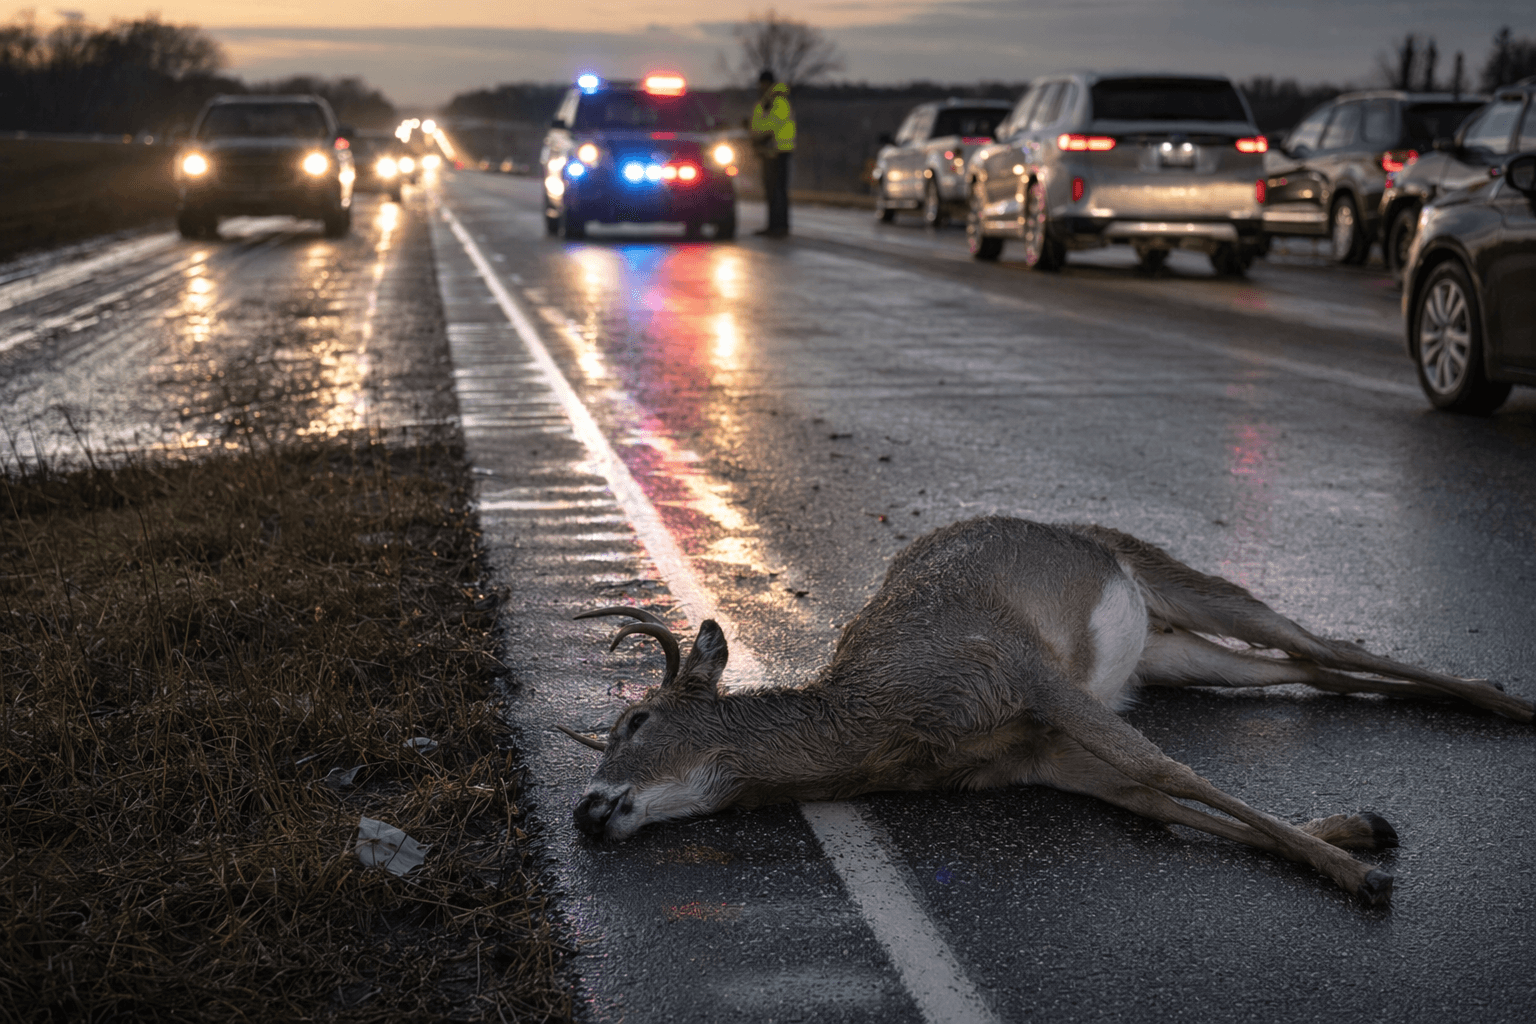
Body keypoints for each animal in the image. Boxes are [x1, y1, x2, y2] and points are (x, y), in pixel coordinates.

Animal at [560, 516, 1533, 904]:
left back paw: (1507, 700)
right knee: (1310, 673)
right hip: (1176, 653)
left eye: (633, 724)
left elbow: (1170, 771)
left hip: (1187, 581)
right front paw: (1351, 840)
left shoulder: (1029, 675)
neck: (886, 723)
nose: (584, 809)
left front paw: (1358, 876)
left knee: (1325, 644)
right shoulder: (1038, 759)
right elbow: (1160, 805)